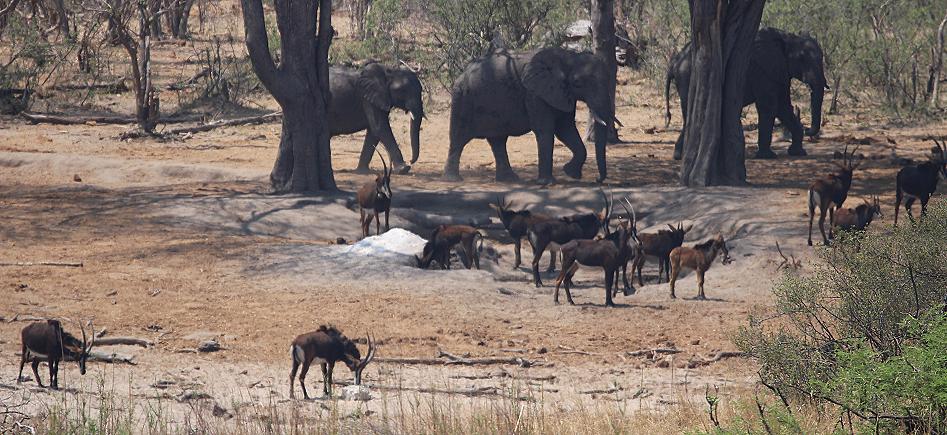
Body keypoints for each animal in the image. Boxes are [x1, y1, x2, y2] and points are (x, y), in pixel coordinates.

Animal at [664, 27, 824, 160]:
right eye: (802, 59)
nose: (808, 130)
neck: (788, 38)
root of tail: (673, 63)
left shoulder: (779, 72)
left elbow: (783, 107)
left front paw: (798, 152)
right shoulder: (764, 70)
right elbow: (770, 107)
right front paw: (767, 156)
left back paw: (679, 155)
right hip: (687, 77)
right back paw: (682, 156)